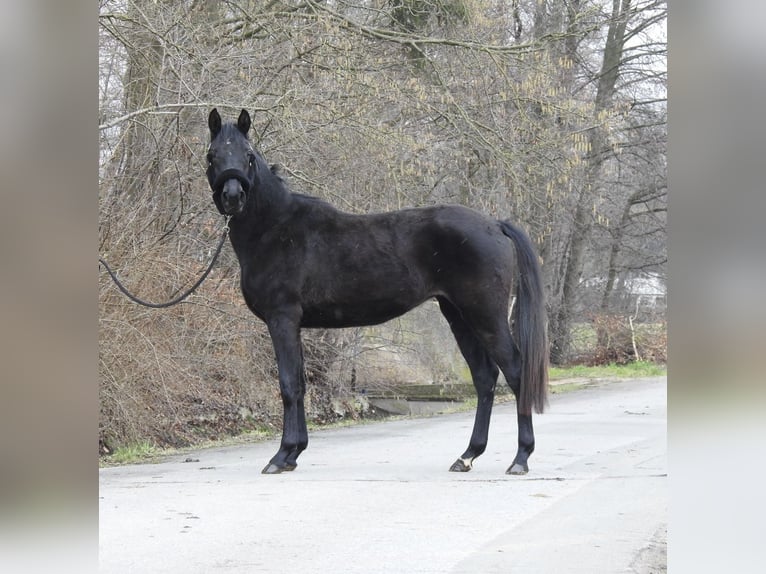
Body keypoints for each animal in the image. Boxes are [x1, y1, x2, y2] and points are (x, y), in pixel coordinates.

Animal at [205, 108, 549, 475]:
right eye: (213, 155)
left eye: (248, 156)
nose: (232, 197)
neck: (275, 228)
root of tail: (495, 224)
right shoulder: (292, 324)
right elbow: (299, 382)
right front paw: (294, 454)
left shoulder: (282, 319)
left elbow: (288, 384)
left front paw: (281, 456)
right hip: (458, 315)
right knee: (484, 377)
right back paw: (467, 455)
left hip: (485, 314)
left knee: (515, 371)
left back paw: (520, 458)